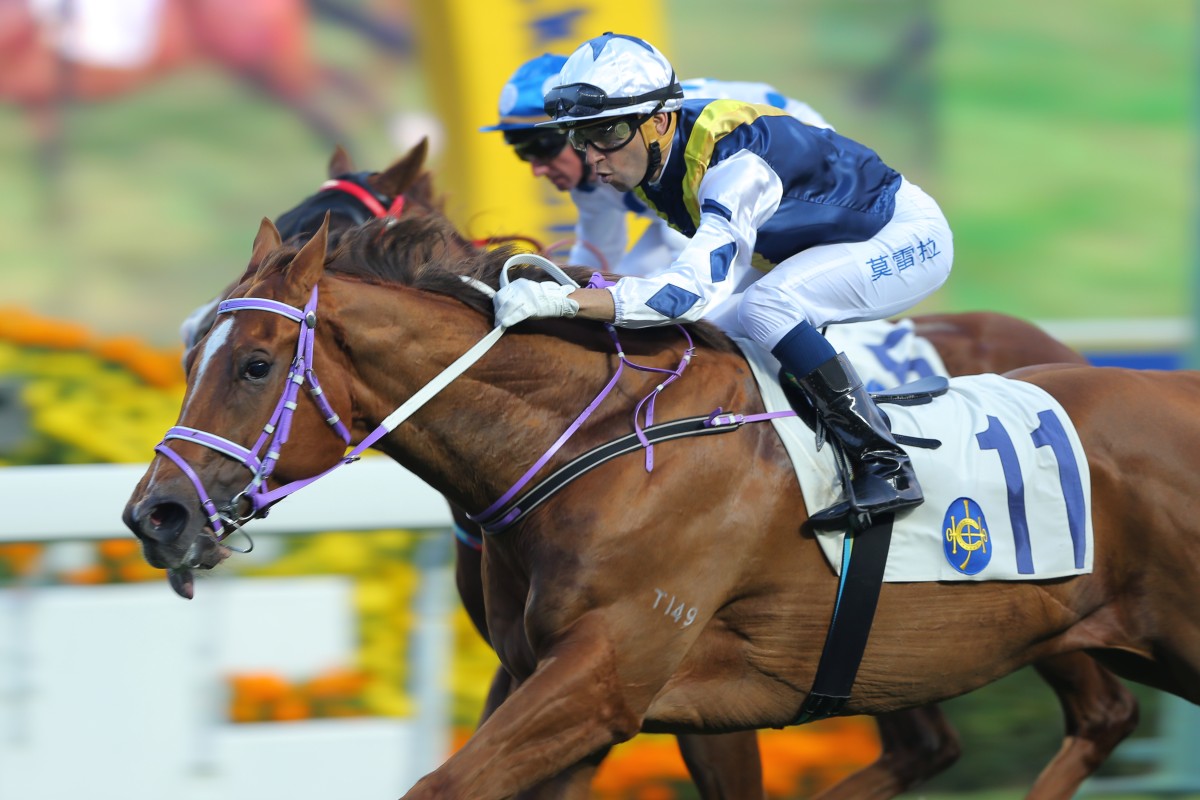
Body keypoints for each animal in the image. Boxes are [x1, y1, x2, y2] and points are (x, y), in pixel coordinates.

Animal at [122, 213, 1180, 800]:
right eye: (191, 354)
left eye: (256, 365)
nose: (155, 515)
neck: (596, 446)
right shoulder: (562, 685)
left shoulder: (610, 677)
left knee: (1101, 715)